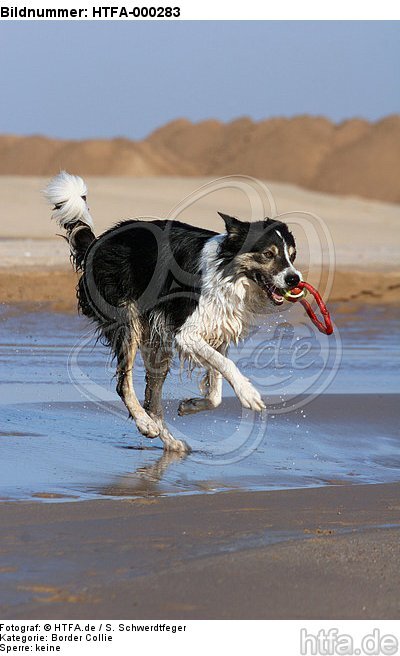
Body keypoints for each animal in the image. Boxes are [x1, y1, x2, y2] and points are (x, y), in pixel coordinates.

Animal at [45, 172, 302, 454]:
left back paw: (170, 441)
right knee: (123, 384)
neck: (229, 272)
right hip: (127, 321)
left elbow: (216, 390)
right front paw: (249, 394)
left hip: (156, 343)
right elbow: (226, 365)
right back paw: (145, 425)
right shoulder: (186, 332)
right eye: (268, 254)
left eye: (292, 256)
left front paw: (190, 405)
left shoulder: (217, 331)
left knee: (152, 400)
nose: (295, 279)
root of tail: (97, 243)